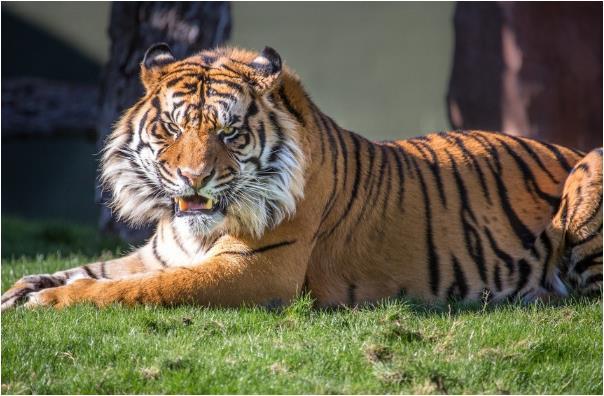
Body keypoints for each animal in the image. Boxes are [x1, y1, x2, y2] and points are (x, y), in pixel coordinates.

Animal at [2, 43, 600, 310]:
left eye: (229, 132)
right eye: (171, 128)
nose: (193, 178)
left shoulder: (256, 270)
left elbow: (140, 289)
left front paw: (50, 301)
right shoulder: (160, 252)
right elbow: (92, 268)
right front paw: (21, 289)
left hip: (588, 175)